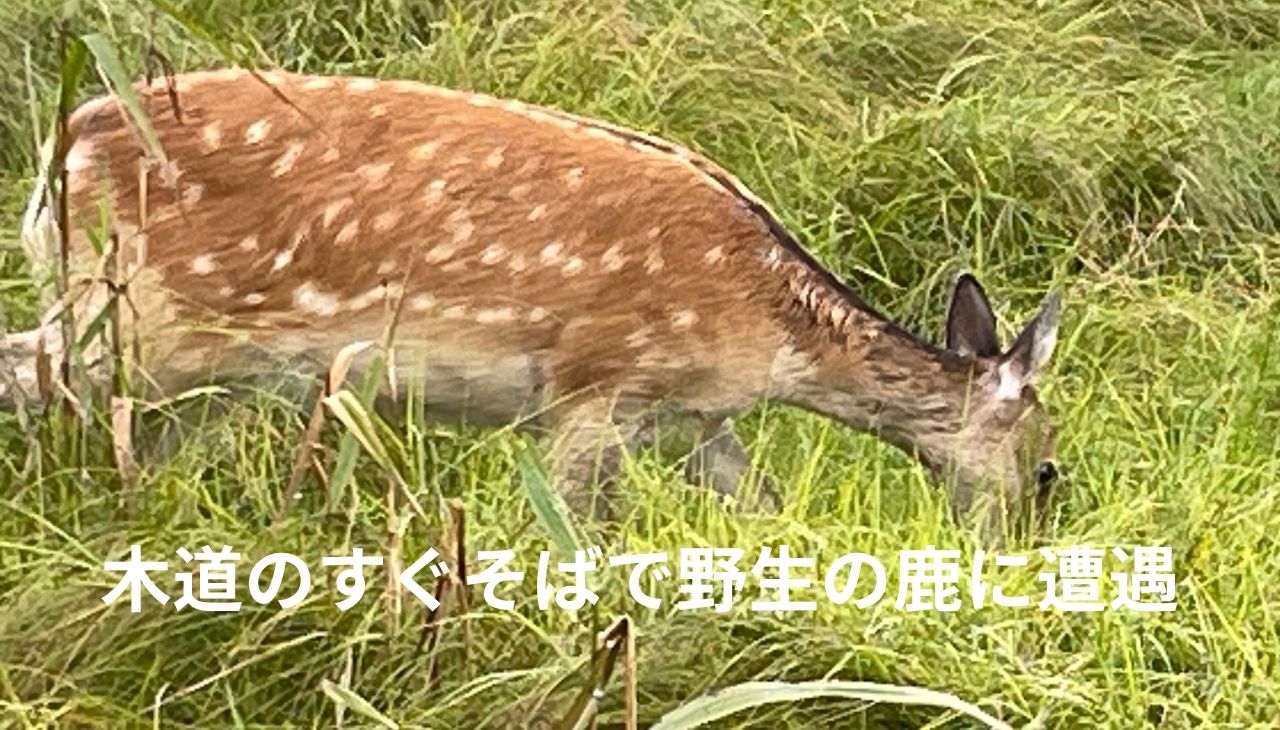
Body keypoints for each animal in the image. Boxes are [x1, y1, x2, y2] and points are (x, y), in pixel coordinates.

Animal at [2, 68, 1063, 534]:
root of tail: (64, 146)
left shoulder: (691, 419)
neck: (771, 335)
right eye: (1050, 468)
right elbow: (581, 529)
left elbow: (757, 501)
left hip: (188, 366)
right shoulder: (594, 383)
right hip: (136, 317)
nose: (1021, 545)